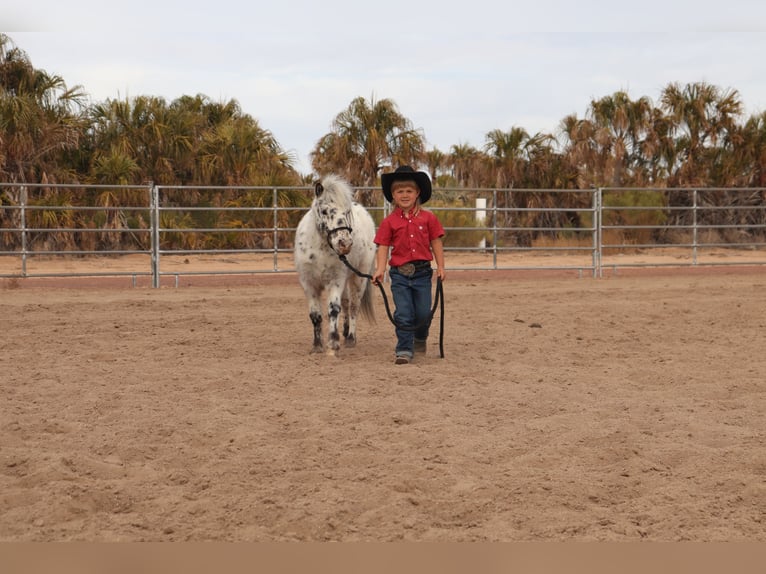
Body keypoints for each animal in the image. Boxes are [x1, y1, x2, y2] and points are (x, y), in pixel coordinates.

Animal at [294, 174, 378, 356]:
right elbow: (315, 315)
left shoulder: (335, 282)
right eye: (325, 211)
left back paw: (351, 338)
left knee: (353, 307)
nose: (345, 243)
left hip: (358, 278)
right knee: (346, 304)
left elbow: (333, 310)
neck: (319, 249)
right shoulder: (308, 284)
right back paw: (345, 332)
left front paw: (333, 343)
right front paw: (317, 345)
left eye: (346, 212)